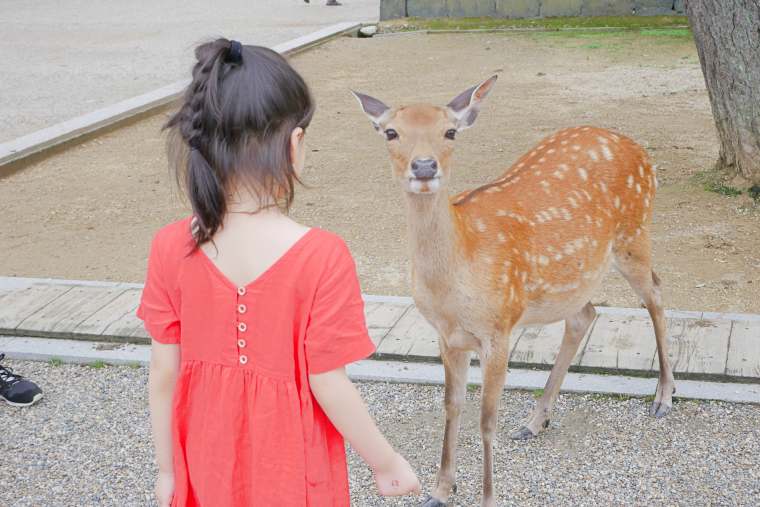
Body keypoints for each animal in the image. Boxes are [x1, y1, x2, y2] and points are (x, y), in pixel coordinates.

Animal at [352, 75, 675, 507]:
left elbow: (487, 419)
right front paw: (441, 489)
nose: (423, 166)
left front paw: (487, 497)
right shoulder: (447, 336)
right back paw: (536, 420)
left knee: (655, 293)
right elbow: (452, 406)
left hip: (634, 232)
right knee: (585, 314)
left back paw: (663, 397)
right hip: (575, 276)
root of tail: (639, 150)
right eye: (391, 132)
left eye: (450, 131)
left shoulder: (499, 327)